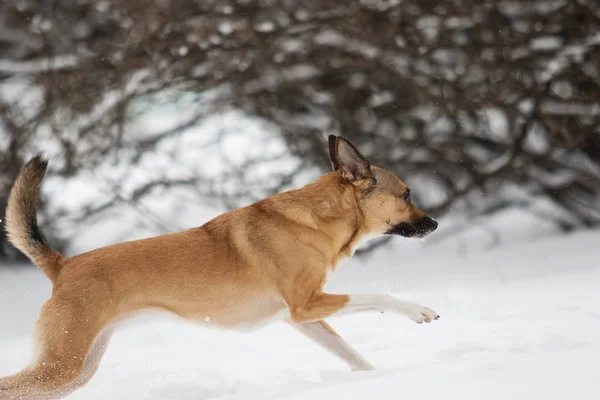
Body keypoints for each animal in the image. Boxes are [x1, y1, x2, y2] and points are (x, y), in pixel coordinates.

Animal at [1, 136, 440, 398]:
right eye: (406, 194)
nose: (435, 225)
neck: (317, 219)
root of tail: (63, 265)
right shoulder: (308, 304)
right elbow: (379, 296)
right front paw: (418, 310)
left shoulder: (302, 318)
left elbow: (353, 356)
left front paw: (379, 381)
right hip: (60, 367)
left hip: (75, 370)